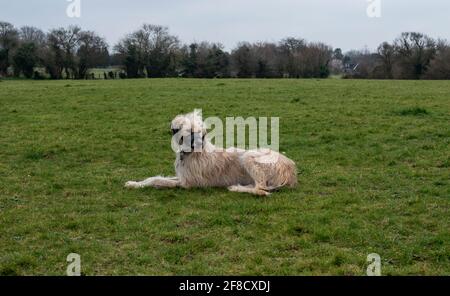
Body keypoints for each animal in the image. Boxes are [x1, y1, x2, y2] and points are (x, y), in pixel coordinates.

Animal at [125, 111, 298, 197]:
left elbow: (158, 180)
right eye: (188, 131)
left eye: (198, 132)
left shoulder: (188, 182)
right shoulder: (183, 175)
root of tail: (291, 172)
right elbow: (154, 178)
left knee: (262, 189)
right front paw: (134, 183)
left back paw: (236, 188)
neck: (192, 154)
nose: (197, 143)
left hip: (249, 157)